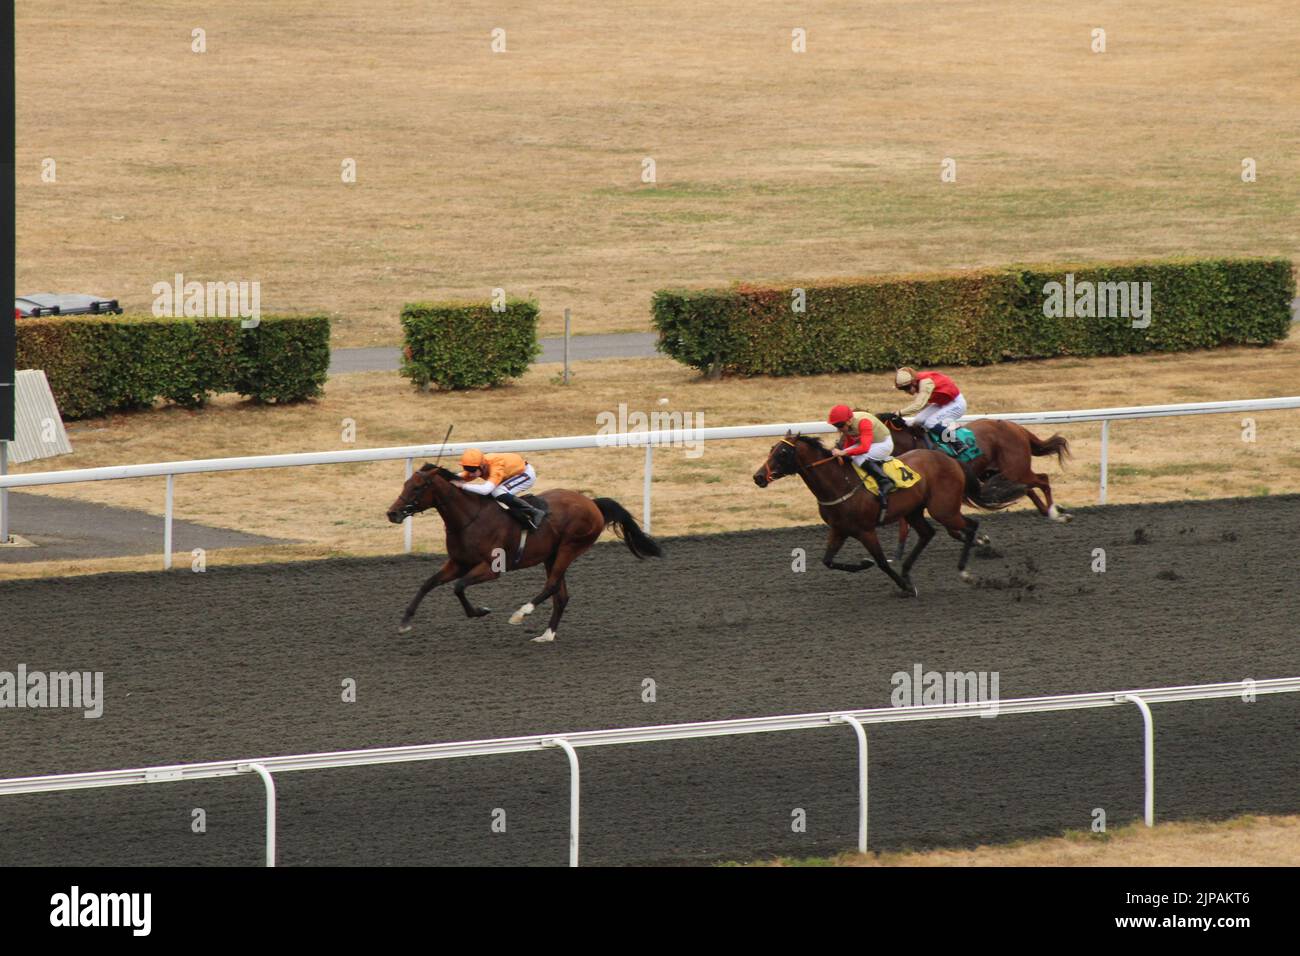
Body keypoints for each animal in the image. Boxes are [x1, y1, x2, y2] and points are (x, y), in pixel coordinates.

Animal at [384, 463, 660, 642]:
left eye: (417, 488)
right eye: (405, 483)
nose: (392, 513)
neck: (470, 519)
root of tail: (592, 503)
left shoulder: (491, 568)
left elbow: (459, 587)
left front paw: (480, 611)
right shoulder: (458, 562)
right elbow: (428, 583)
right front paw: (405, 622)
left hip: (570, 548)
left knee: (551, 586)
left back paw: (521, 613)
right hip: (551, 555)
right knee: (561, 595)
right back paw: (546, 635)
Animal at [754, 434, 1024, 598]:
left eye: (782, 453)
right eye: (771, 449)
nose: (758, 477)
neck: (839, 484)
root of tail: (949, 459)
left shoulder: (865, 530)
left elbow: (882, 562)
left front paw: (905, 587)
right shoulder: (839, 529)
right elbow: (828, 561)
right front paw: (865, 564)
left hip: (944, 509)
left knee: (969, 525)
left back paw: (965, 568)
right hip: (915, 510)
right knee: (928, 533)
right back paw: (906, 569)